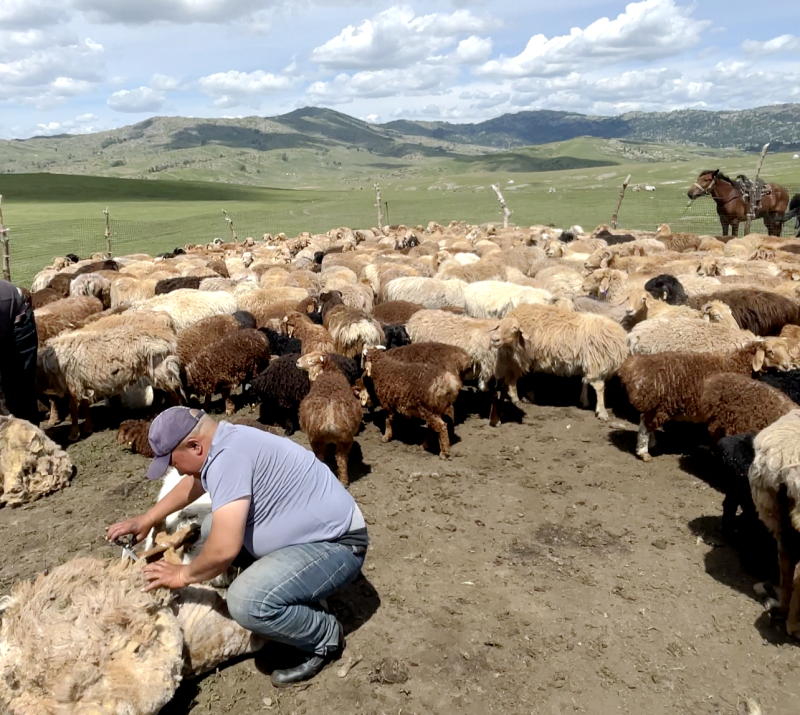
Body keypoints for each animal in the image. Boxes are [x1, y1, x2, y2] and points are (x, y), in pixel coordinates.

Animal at [296, 352, 366, 486]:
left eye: (311, 361)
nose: (297, 362)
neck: (329, 371)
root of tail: (329, 418)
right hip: (344, 439)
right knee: (340, 459)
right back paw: (343, 481)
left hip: (316, 438)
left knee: (327, 458)